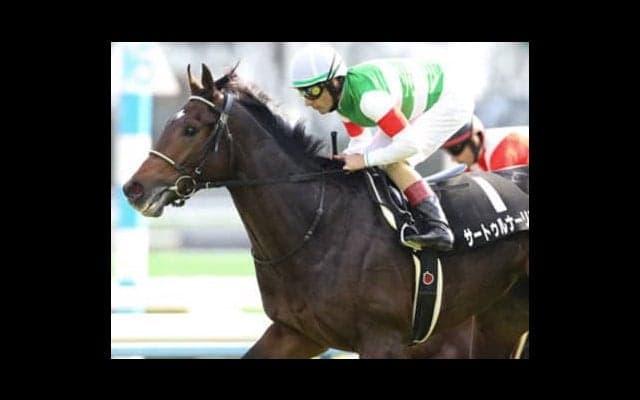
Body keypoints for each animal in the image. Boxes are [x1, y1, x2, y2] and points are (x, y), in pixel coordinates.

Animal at [122, 64, 529, 358]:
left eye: (191, 128)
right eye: (170, 123)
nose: (133, 188)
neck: (319, 226)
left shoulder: (384, 338)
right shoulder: (296, 332)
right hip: (501, 320)